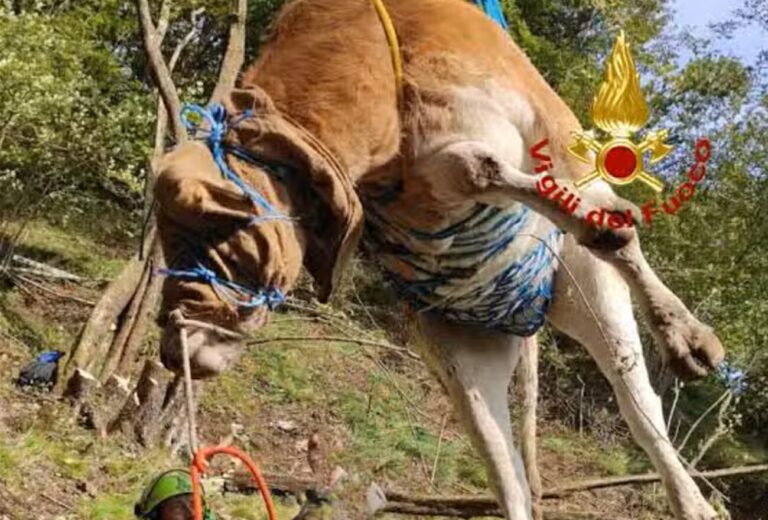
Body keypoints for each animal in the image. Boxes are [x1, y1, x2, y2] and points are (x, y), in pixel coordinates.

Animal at [152, 1, 725, 518]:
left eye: (223, 223)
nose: (176, 344)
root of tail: (525, 317)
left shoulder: (547, 120)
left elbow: (606, 218)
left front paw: (689, 336)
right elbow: (477, 167)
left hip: (588, 292)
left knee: (639, 406)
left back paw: (695, 496)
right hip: (463, 355)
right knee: (510, 479)